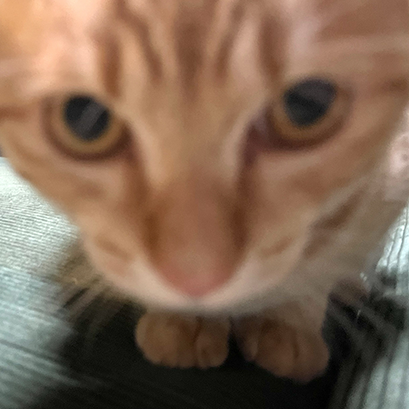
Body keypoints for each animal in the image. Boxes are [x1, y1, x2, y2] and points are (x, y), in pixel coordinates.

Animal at [1, 0, 409, 383]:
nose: (196, 278)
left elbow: (331, 243)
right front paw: (184, 321)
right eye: (84, 119)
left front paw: (289, 321)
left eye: (308, 104)